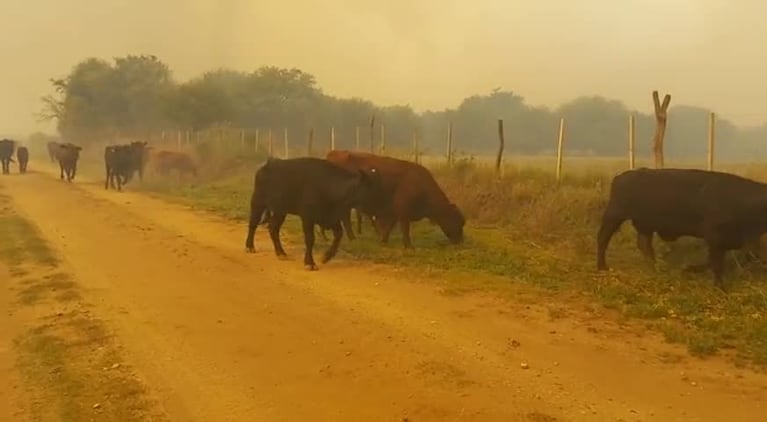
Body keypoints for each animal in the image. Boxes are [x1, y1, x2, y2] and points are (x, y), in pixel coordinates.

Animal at [246, 157, 384, 270]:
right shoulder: (308, 218)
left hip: (280, 210)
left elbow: (339, 235)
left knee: (273, 228)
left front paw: (326, 257)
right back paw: (250, 247)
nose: (381, 206)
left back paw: (281, 253)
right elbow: (310, 239)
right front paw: (309, 263)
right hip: (258, 202)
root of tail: (268, 164)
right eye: (370, 189)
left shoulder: (331, 218)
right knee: (253, 223)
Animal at [326, 149, 464, 247]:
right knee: (346, 219)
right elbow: (404, 229)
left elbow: (389, 226)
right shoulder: (403, 212)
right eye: (456, 220)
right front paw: (408, 246)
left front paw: (383, 240)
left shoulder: (394, 212)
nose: (460, 241)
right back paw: (352, 238)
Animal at [596, 168, 767, 290]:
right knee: (603, 239)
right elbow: (716, 263)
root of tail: (621, 176)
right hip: (614, 216)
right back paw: (602, 267)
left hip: (645, 226)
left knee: (645, 246)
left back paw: (655, 269)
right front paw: (718, 285)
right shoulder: (715, 238)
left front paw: (690, 269)